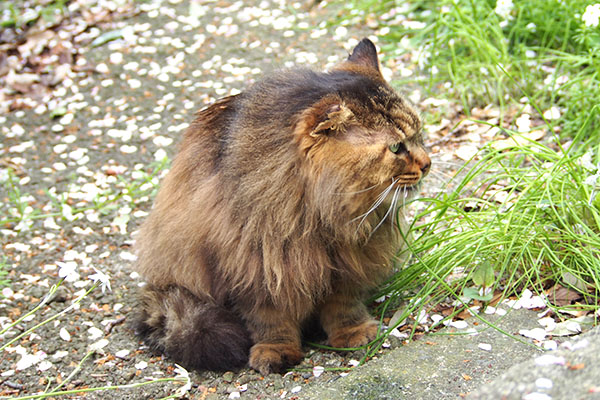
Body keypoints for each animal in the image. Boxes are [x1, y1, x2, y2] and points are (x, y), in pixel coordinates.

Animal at [133, 38, 428, 376]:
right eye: (395, 148)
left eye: (419, 134)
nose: (428, 164)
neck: (318, 215)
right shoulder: (257, 269)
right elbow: (271, 321)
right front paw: (277, 351)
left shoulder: (347, 262)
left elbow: (344, 307)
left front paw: (353, 333)